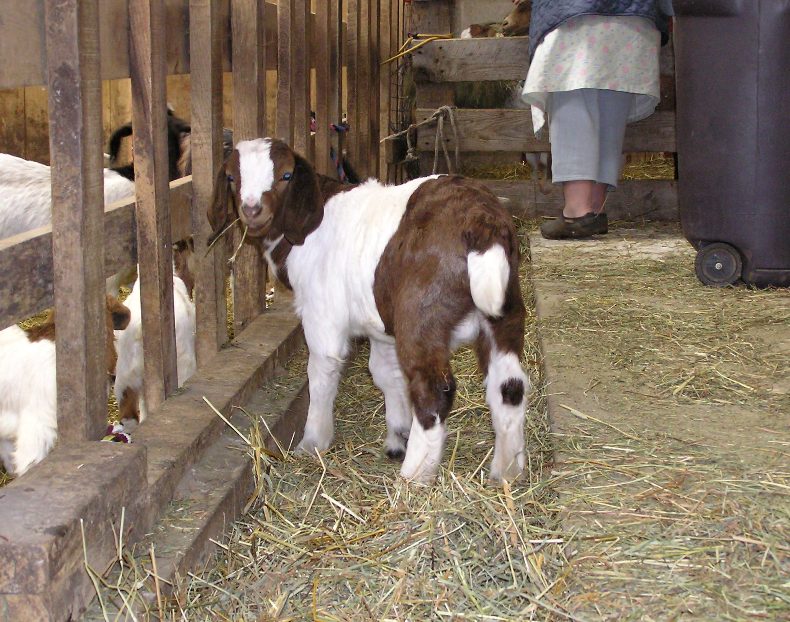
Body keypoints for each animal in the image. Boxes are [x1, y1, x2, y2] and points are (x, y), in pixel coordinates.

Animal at [210, 139, 532, 486]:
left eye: (285, 175)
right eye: (231, 177)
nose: (252, 210)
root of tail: (481, 222)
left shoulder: (322, 314)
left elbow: (321, 372)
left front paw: (313, 443)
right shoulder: (380, 326)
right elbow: (384, 373)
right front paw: (397, 436)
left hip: (421, 314)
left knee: (433, 389)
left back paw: (414, 476)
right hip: (505, 310)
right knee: (509, 385)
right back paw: (507, 471)